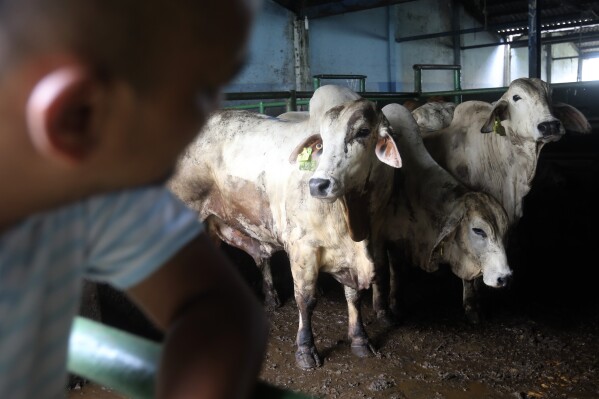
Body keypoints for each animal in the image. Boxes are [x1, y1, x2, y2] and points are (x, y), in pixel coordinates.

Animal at [169, 86, 404, 370]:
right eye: (321, 142)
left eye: (363, 131)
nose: (318, 184)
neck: (354, 220)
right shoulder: (303, 248)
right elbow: (306, 299)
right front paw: (305, 350)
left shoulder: (369, 241)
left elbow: (354, 295)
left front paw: (360, 339)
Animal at [382, 104, 512, 324]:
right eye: (478, 231)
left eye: (505, 231)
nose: (505, 277)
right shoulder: (391, 240)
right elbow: (396, 271)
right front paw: (395, 306)